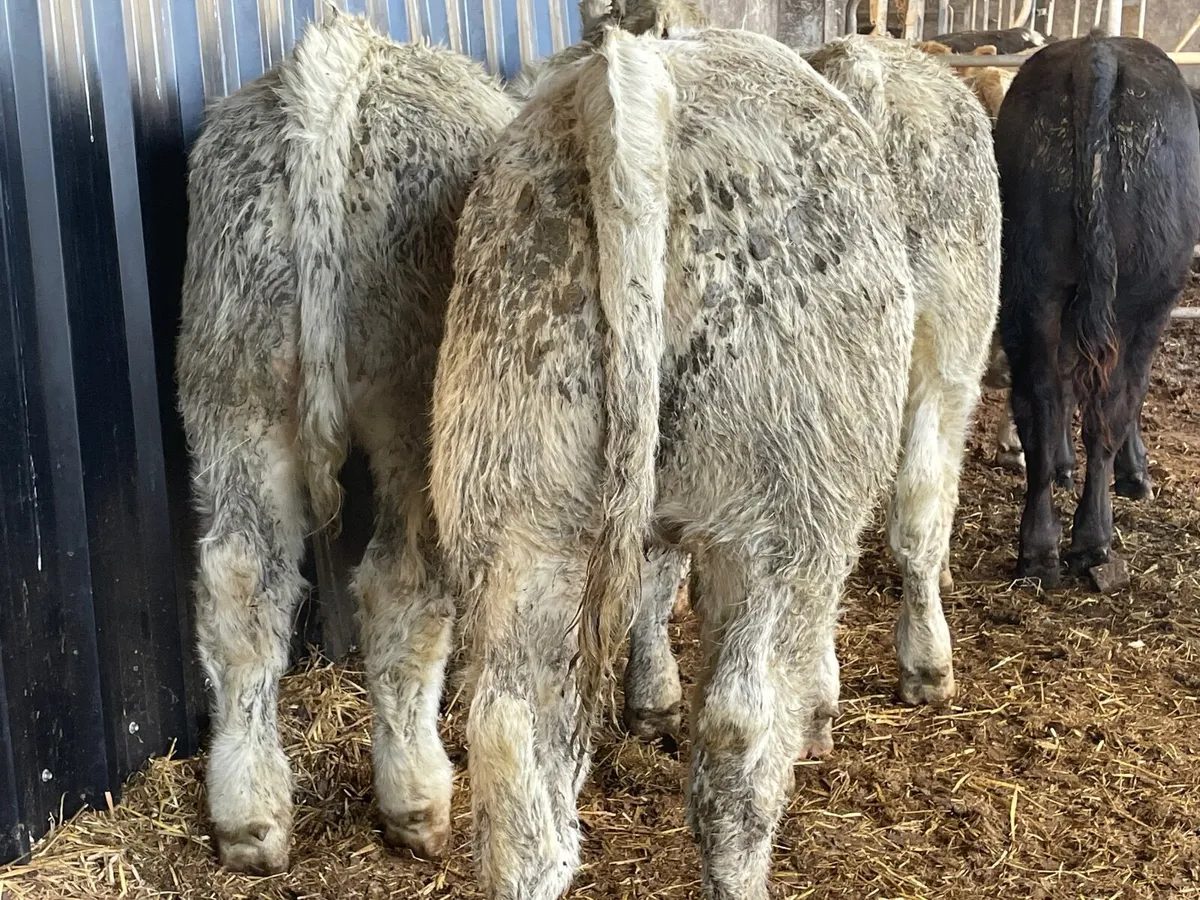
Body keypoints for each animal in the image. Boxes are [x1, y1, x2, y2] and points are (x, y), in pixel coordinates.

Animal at [430, 17, 920, 900]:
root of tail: (636, 84)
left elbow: (653, 587)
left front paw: (650, 701)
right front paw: (820, 714)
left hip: (520, 500)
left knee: (512, 739)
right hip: (779, 519)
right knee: (737, 734)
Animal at [994, 32, 1200, 586]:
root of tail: (1096, 53)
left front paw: (1066, 467)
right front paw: (1135, 472)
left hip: (1030, 287)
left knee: (1040, 403)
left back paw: (1039, 547)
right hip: (1137, 298)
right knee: (1110, 407)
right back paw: (1092, 540)